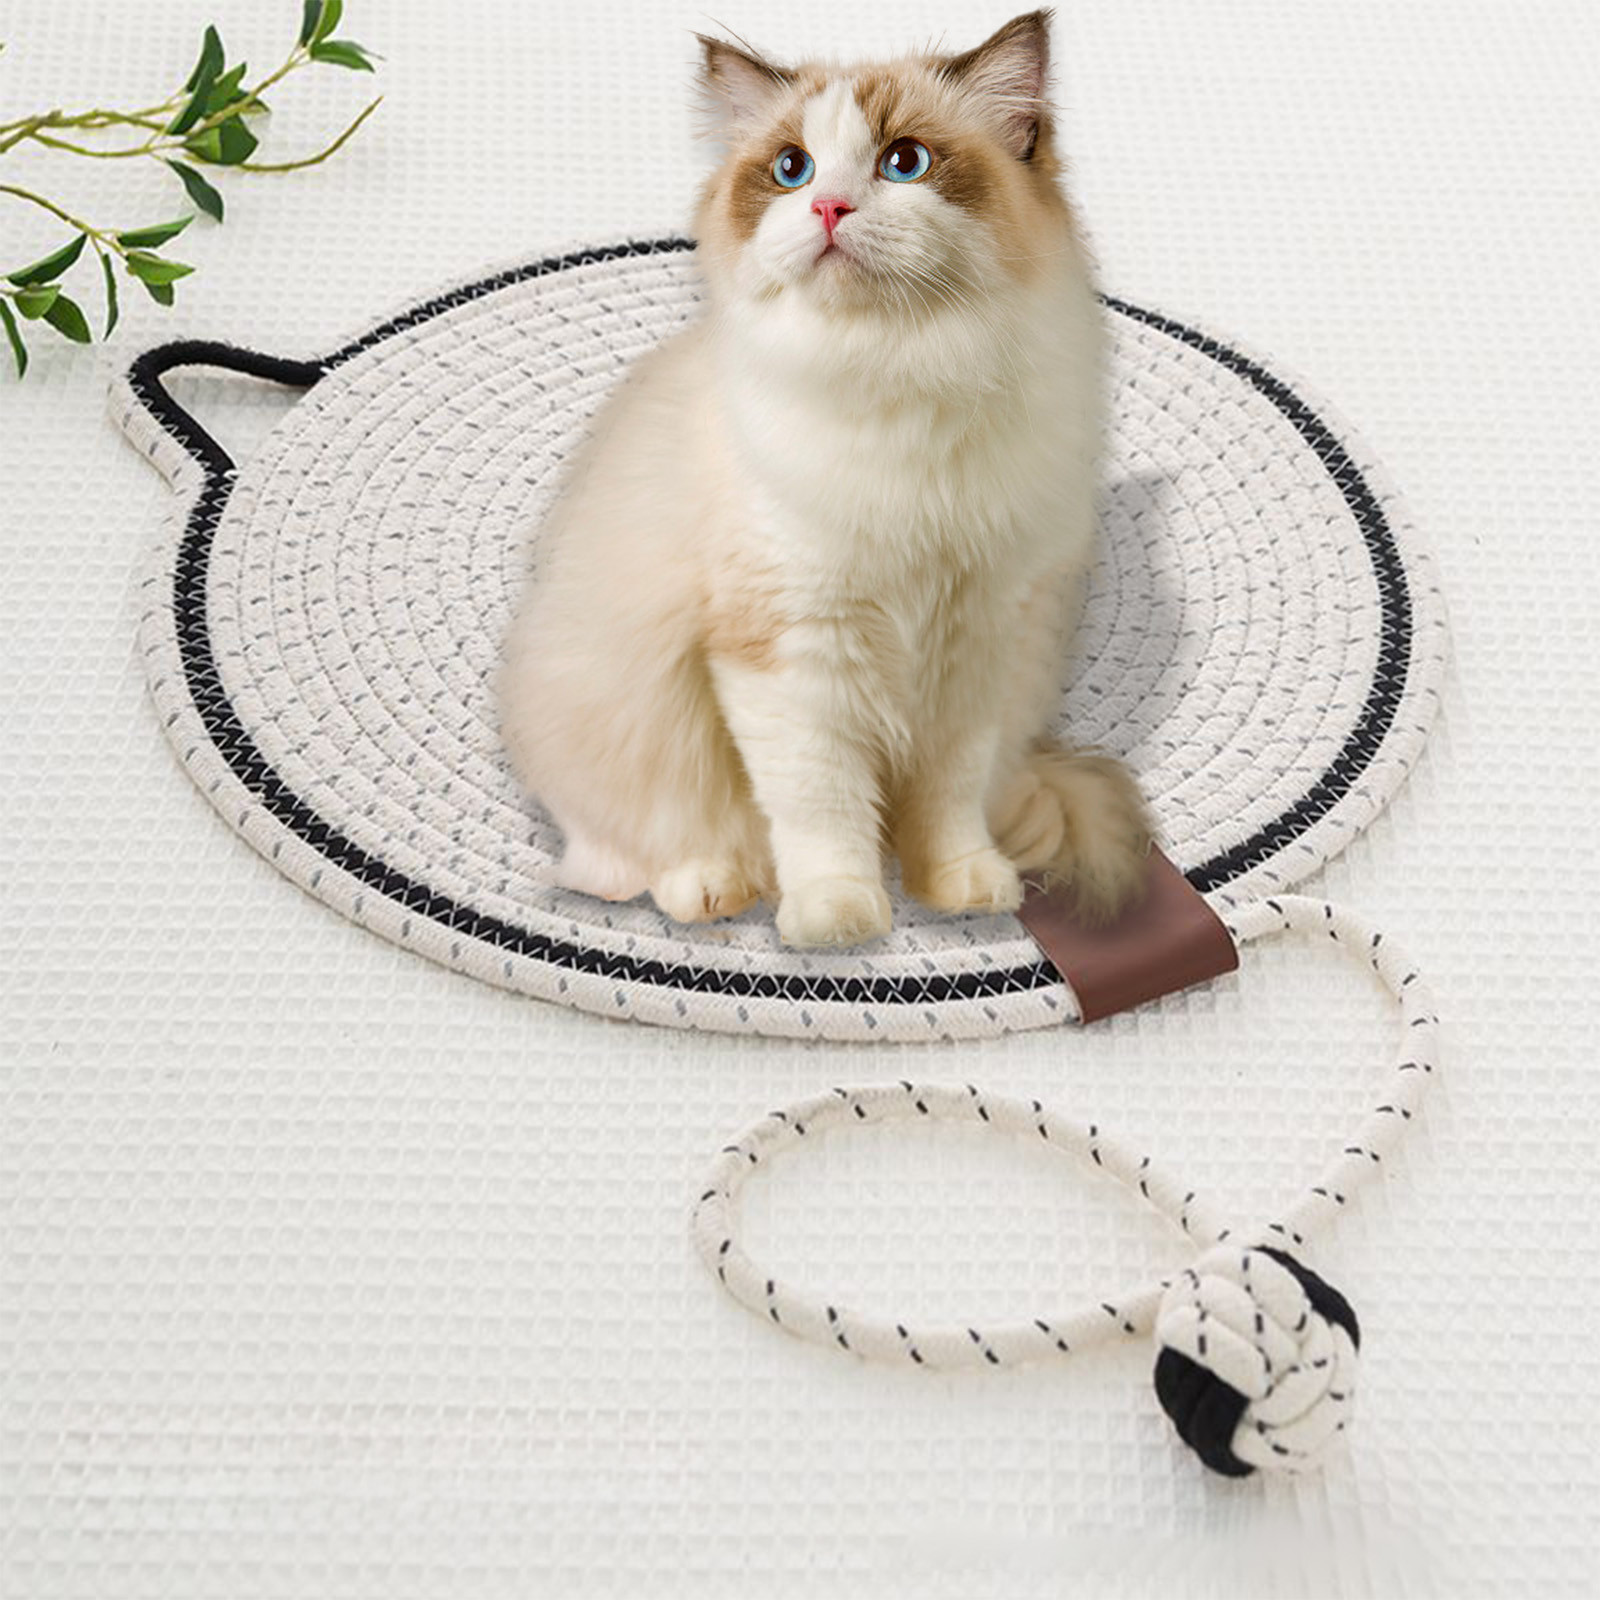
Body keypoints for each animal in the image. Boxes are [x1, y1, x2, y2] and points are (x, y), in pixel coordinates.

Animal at [499, 9, 1150, 948]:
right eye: (790, 169)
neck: (898, 376)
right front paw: (838, 918)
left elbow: (948, 799)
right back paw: (711, 886)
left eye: (904, 162)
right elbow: (822, 806)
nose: (827, 207)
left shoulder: (979, 645)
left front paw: (958, 887)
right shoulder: (793, 648)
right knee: (623, 853)